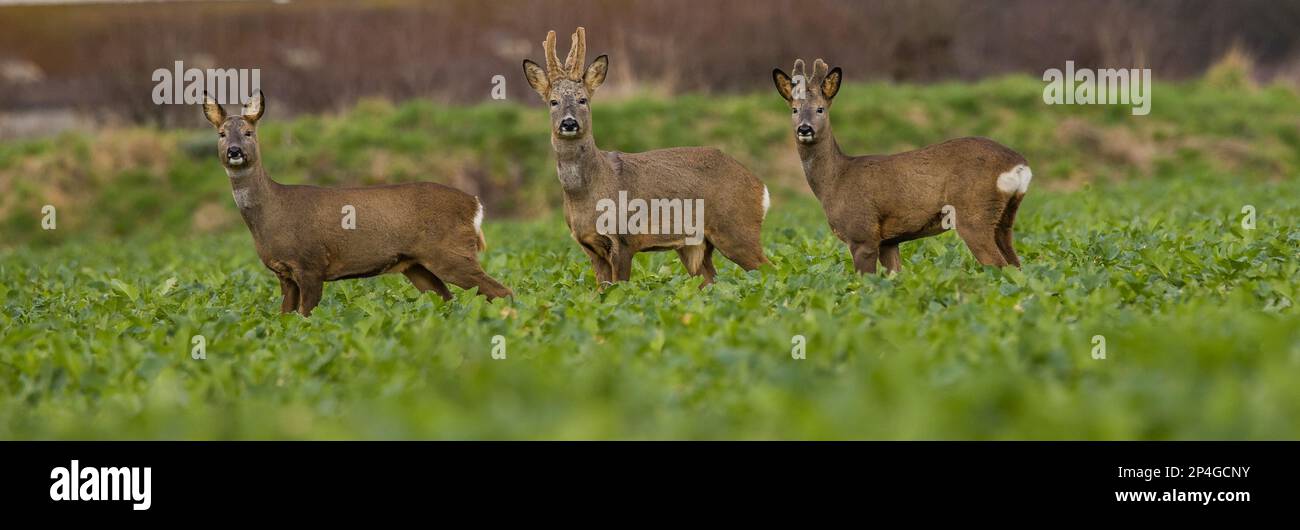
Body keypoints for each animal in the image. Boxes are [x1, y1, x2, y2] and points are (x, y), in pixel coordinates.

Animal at [201, 91, 512, 316]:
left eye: (249, 132)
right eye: (221, 134)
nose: (234, 151)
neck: (271, 213)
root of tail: (475, 204)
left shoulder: (311, 263)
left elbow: (305, 315)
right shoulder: (284, 273)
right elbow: (285, 316)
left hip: (451, 252)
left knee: (501, 291)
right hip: (416, 264)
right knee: (447, 298)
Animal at [522, 27, 770, 287]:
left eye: (583, 99)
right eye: (553, 101)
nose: (569, 123)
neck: (587, 193)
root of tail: (760, 186)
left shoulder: (623, 239)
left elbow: (620, 287)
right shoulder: (588, 245)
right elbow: (601, 290)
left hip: (736, 228)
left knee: (769, 269)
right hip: (696, 245)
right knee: (710, 282)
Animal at [772, 59, 1031, 274]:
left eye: (821, 109)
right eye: (794, 109)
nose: (805, 129)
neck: (834, 181)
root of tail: (1019, 164)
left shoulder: (862, 234)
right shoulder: (889, 241)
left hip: (974, 214)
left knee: (999, 265)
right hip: (1005, 218)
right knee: (1016, 265)